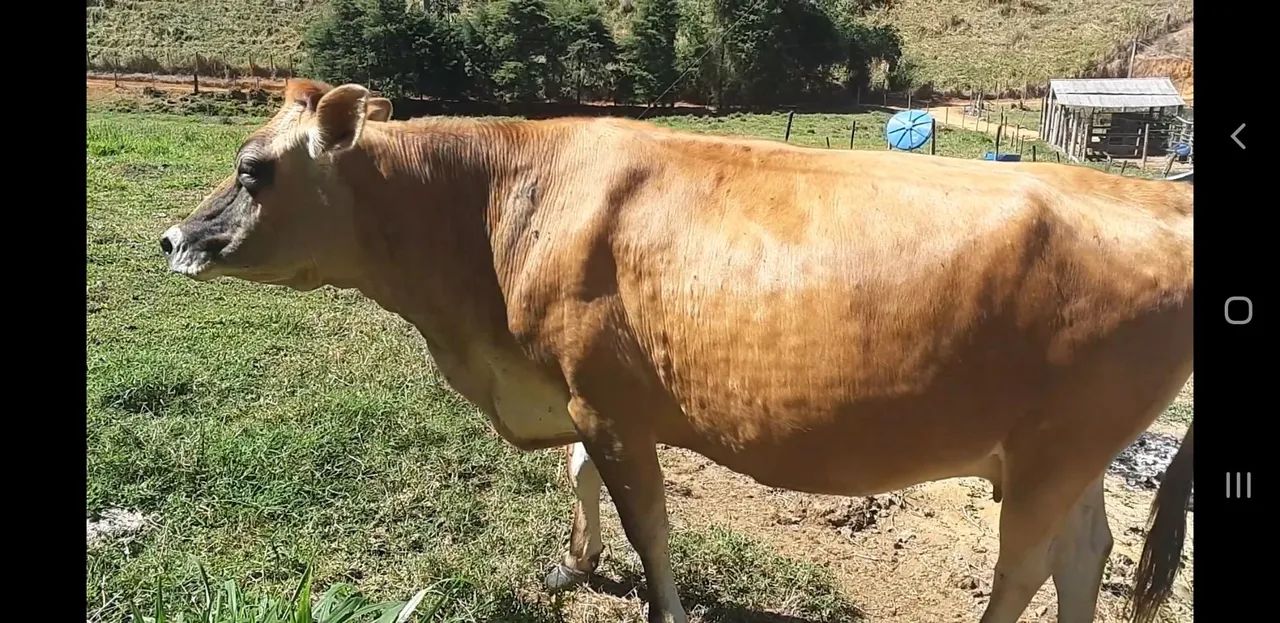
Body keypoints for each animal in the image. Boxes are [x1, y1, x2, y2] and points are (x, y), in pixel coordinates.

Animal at [159, 79, 1194, 623]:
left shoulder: (610, 400)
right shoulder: (579, 387)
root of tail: (1157, 197)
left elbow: (649, 520)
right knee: (1084, 553)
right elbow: (580, 477)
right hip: (1070, 451)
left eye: (255, 171)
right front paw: (575, 562)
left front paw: (660, 605)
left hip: (1055, 451)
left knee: (1025, 563)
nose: (171, 239)